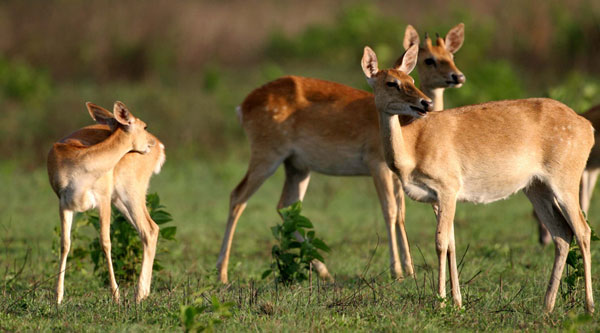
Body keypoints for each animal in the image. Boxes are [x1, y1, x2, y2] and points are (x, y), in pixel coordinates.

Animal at [47, 101, 165, 304]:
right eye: (144, 126)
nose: (151, 143)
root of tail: (161, 150)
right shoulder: (64, 203)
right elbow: (65, 244)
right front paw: (58, 297)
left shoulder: (103, 199)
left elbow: (105, 242)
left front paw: (116, 295)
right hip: (120, 200)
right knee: (149, 230)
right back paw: (142, 293)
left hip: (131, 193)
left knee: (149, 229)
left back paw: (139, 295)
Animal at [217, 23, 468, 282]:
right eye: (429, 60)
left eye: (452, 56)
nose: (426, 102)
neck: (407, 129)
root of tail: (242, 107)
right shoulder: (376, 162)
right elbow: (389, 211)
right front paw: (397, 271)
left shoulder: (398, 174)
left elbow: (401, 213)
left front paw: (409, 269)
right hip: (266, 153)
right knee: (238, 197)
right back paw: (222, 273)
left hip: (297, 165)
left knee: (284, 206)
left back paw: (324, 271)